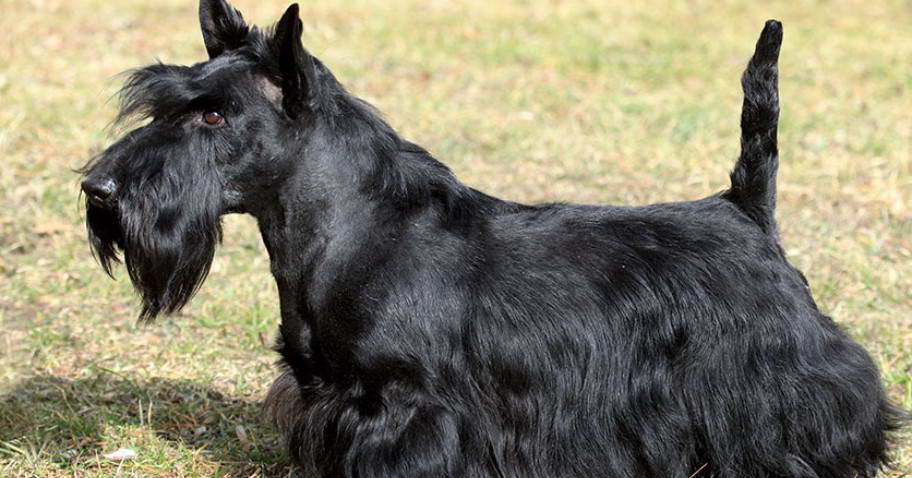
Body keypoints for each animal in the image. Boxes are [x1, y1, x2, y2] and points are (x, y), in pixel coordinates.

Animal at [83, 1, 904, 476]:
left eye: (214, 115)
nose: (99, 190)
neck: (348, 230)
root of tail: (745, 212)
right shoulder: (325, 396)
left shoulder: (407, 408)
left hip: (775, 379)